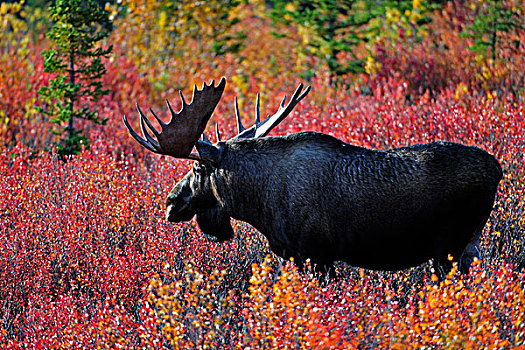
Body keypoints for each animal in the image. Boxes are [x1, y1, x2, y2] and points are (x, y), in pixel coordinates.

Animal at [122, 77, 500, 278]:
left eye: (198, 169)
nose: (171, 202)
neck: (258, 204)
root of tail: (497, 169)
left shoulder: (317, 254)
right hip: (468, 247)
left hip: (450, 248)